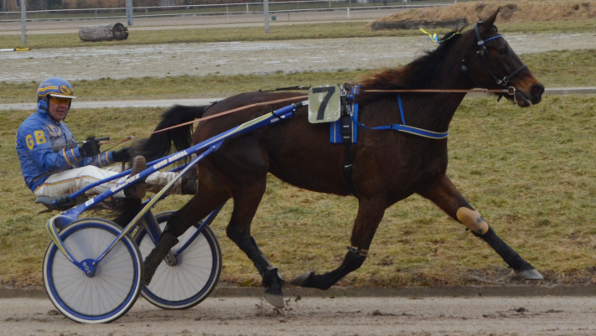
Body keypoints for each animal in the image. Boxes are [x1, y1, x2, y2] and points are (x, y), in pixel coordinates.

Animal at [135, 8, 544, 308]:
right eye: (499, 49)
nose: (536, 88)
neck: (408, 111)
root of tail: (210, 110)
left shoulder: (431, 180)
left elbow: (476, 221)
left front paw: (525, 266)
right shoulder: (374, 196)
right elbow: (356, 255)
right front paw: (313, 279)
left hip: (220, 183)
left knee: (180, 224)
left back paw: (152, 274)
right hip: (249, 179)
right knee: (235, 229)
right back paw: (267, 282)